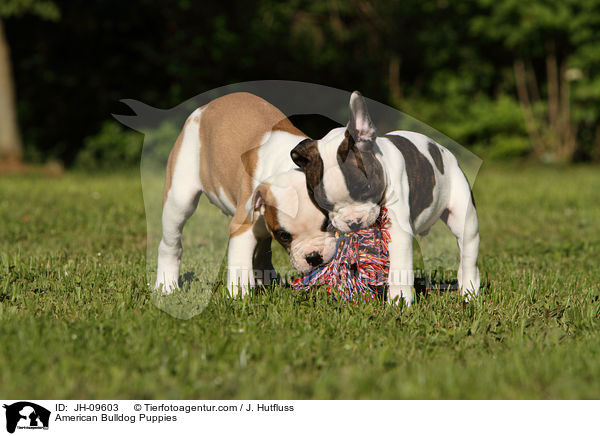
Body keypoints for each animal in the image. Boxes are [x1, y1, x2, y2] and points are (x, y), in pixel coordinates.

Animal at [157, 92, 338, 296]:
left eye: (328, 223)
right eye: (284, 236)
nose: (314, 257)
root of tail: (204, 107)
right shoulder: (242, 228)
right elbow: (240, 266)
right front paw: (238, 296)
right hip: (179, 198)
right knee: (170, 242)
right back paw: (167, 284)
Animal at [288, 91, 480, 306]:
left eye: (366, 188)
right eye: (325, 204)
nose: (353, 222)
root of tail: (444, 151)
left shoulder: (397, 229)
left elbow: (399, 266)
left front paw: (399, 300)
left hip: (464, 216)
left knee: (468, 250)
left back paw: (469, 290)